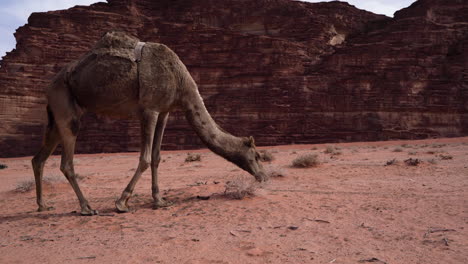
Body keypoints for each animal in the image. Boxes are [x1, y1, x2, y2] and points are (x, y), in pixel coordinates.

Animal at [32, 32, 266, 216]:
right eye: (256, 155)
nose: (263, 176)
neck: (180, 80)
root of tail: (49, 86)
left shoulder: (164, 112)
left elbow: (156, 157)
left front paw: (159, 200)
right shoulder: (149, 110)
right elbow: (144, 158)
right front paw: (122, 202)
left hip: (57, 115)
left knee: (39, 158)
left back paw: (43, 205)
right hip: (64, 103)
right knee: (66, 162)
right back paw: (86, 207)